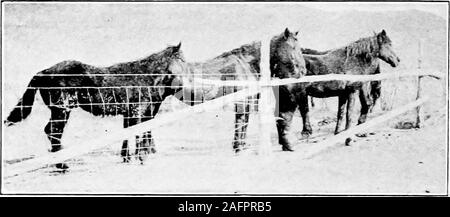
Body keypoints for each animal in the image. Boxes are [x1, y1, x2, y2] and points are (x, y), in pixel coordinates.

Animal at [4, 42, 188, 168]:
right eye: (182, 59)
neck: (144, 77)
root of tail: (43, 72)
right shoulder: (137, 112)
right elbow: (137, 134)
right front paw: (140, 158)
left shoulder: (131, 113)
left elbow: (129, 136)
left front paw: (128, 158)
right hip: (61, 110)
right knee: (53, 131)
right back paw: (62, 163)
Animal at [272, 29, 400, 151]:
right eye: (389, 44)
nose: (397, 60)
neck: (352, 61)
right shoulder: (352, 91)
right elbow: (349, 115)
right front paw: (348, 139)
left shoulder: (343, 94)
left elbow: (341, 113)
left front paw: (338, 133)